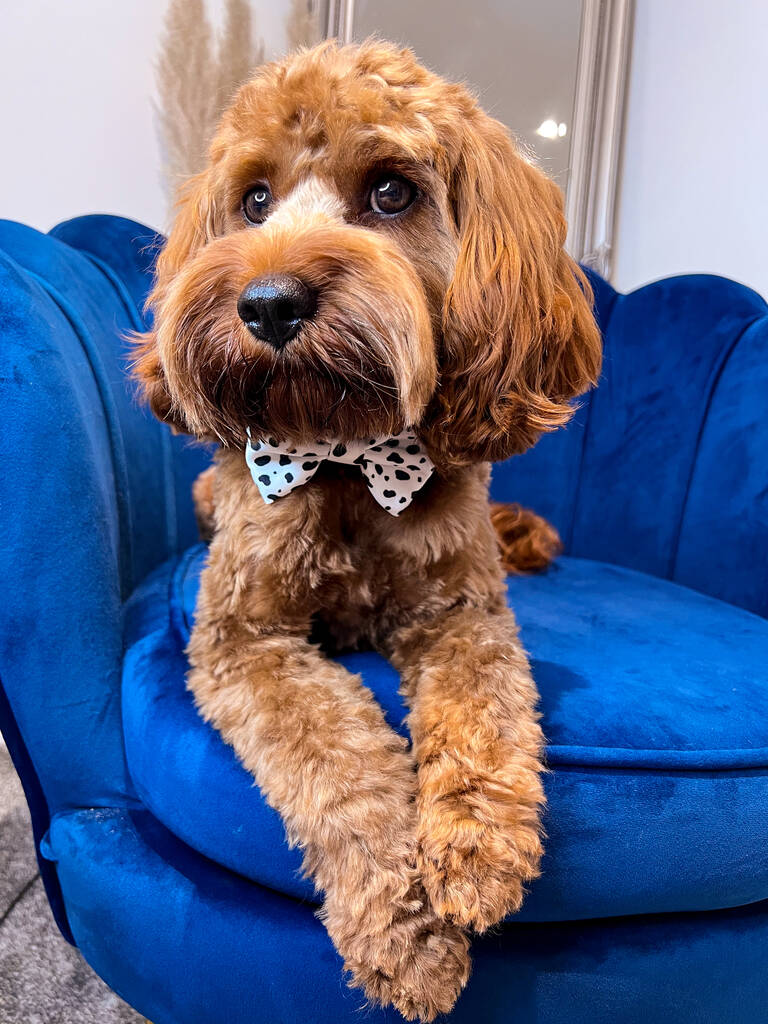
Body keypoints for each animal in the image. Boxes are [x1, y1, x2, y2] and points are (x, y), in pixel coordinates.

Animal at [134, 39, 602, 1024]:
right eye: (255, 199)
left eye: (392, 192)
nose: (269, 303)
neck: (346, 453)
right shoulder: (241, 640)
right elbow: (338, 759)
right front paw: (406, 931)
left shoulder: (462, 613)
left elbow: (485, 710)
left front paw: (478, 849)